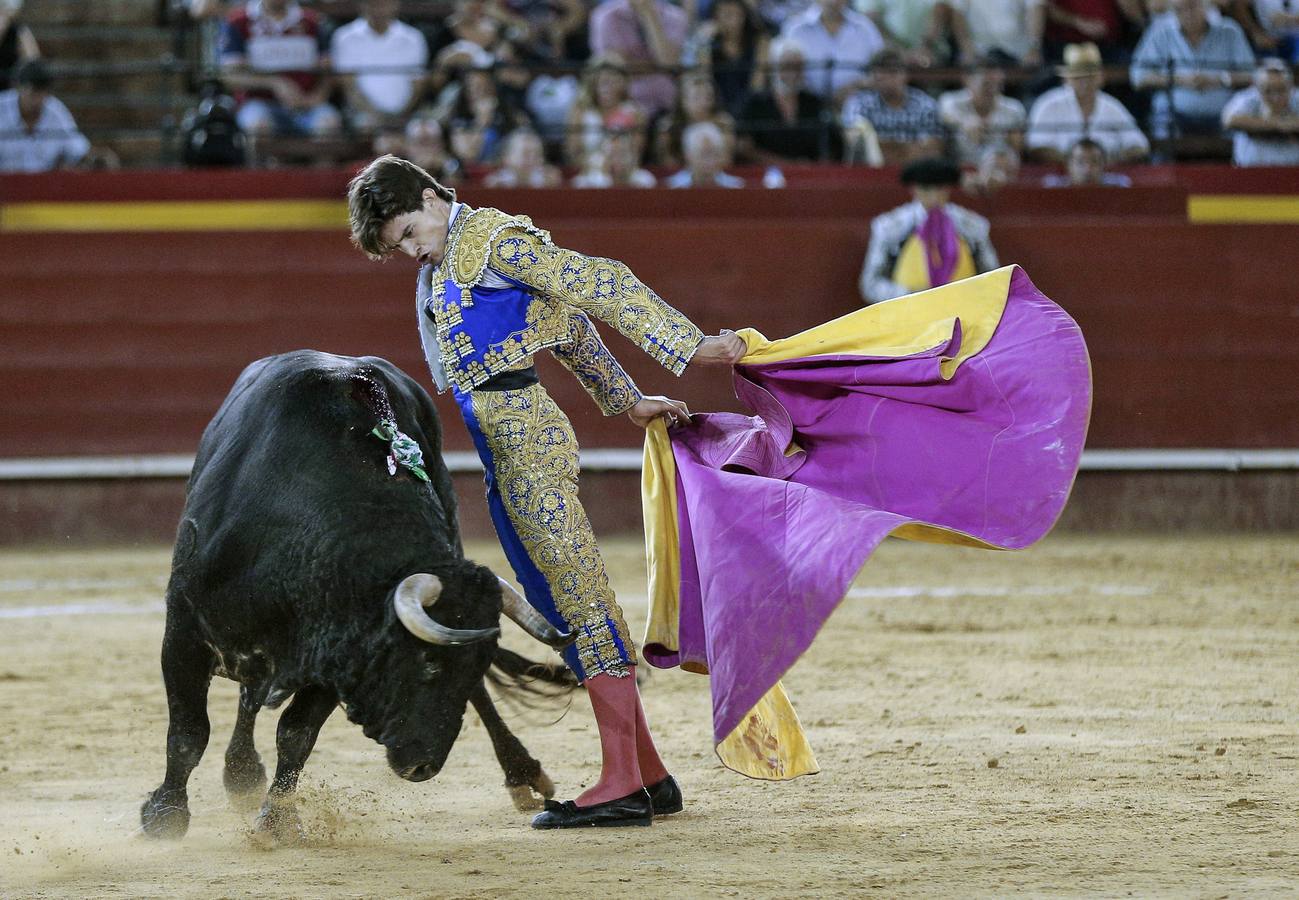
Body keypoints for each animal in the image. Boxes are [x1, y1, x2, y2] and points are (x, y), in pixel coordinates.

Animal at [138, 350, 579, 841]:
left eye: (473, 666)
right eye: (428, 664)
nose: (423, 766)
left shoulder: (336, 646)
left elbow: (296, 734)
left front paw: (278, 822)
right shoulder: (184, 628)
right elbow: (189, 732)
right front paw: (165, 815)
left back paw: (522, 773)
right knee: (243, 699)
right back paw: (240, 775)